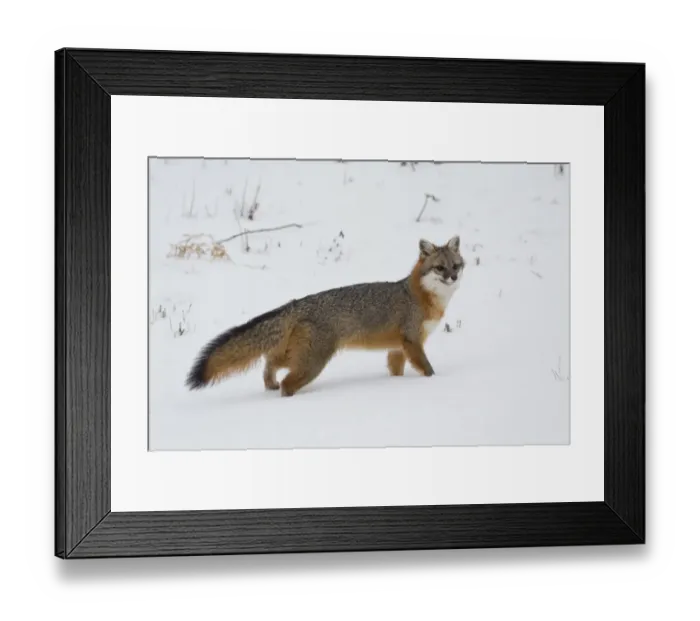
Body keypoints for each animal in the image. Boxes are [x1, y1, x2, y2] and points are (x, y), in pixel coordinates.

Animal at [185, 235, 465, 397]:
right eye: (440, 268)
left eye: (456, 265)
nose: (453, 277)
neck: (420, 295)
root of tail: (297, 304)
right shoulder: (412, 342)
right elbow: (428, 369)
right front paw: (435, 382)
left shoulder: (397, 348)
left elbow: (396, 372)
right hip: (313, 363)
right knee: (287, 382)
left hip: (295, 356)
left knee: (269, 363)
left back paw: (270, 384)